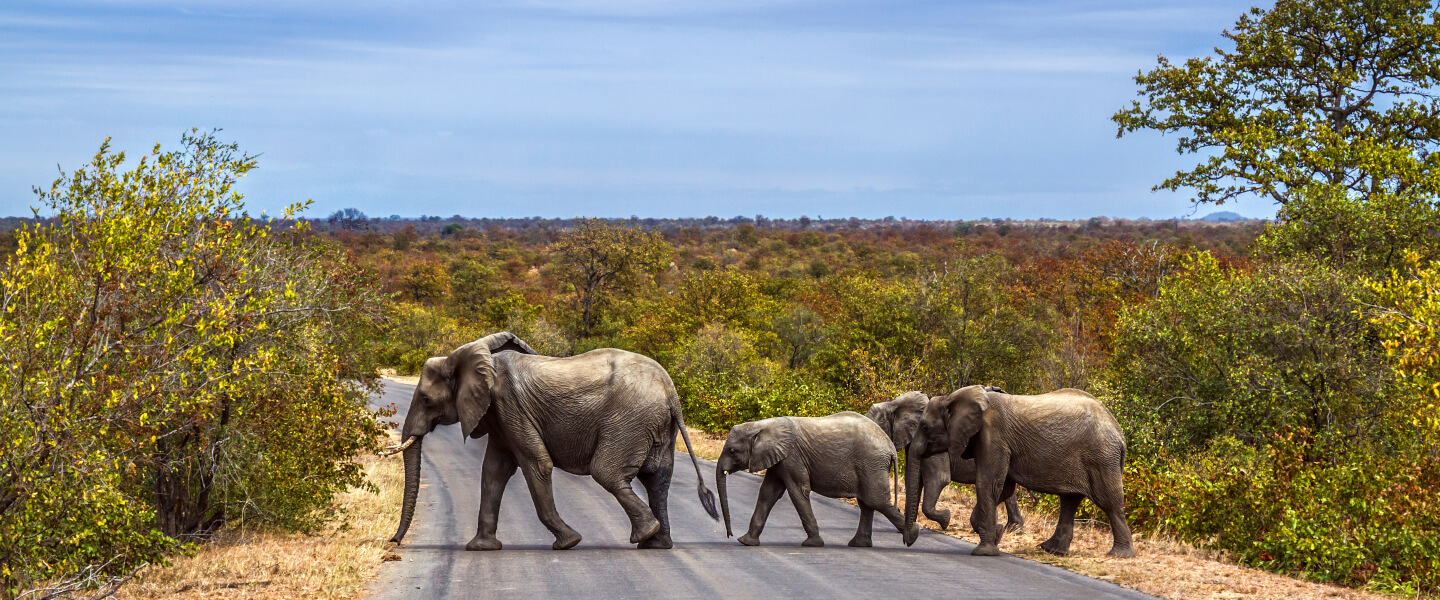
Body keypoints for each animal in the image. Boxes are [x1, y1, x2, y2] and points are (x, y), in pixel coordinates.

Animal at [385, 329, 717, 549]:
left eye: (426, 399)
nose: (393, 544)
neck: (466, 356)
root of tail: (670, 390)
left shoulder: (510, 406)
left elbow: (537, 465)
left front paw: (568, 543)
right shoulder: (500, 417)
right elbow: (493, 472)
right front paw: (481, 548)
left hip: (630, 419)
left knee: (607, 472)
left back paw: (644, 535)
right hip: (656, 425)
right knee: (657, 478)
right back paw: (656, 544)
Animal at [711, 411, 921, 546]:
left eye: (732, 451)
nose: (730, 535)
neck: (762, 425)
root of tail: (889, 446)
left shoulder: (792, 457)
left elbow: (798, 491)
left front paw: (812, 544)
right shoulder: (780, 459)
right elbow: (768, 494)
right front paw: (746, 542)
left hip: (871, 463)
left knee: (875, 500)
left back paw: (913, 536)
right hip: (869, 467)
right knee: (867, 504)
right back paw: (858, 544)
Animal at [915, 382, 1128, 555]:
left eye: (924, 427)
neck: (952, 397)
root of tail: (1119, 432)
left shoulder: (993, 434)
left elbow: (987, 483)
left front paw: (986, 549)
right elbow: (1002, 487)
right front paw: (997, 532)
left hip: (1101, 458)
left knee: (1109, 502)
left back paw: (1119, 554)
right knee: (1069, 501)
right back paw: (1051, 549)